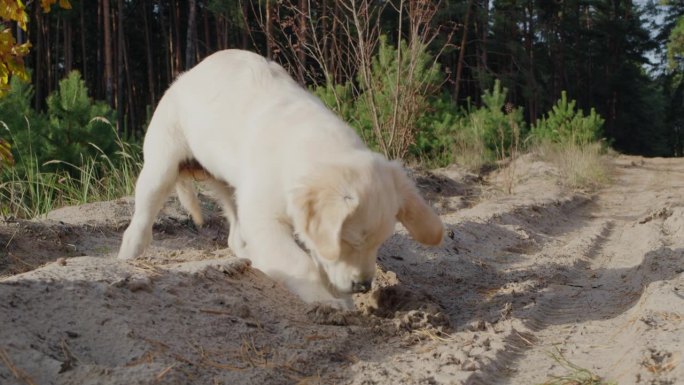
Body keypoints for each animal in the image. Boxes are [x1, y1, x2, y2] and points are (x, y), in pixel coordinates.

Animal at [117, 49, 444, 308]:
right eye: (350, 241)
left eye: (380, 243)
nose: (363, 285)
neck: (313, 148)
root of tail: (185, 76)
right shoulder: (264, 219)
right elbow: (301, 264)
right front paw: (326, 301)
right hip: (161, 166)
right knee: (140, 223)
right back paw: (126, 260)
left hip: (232, 186)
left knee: (235, 234)